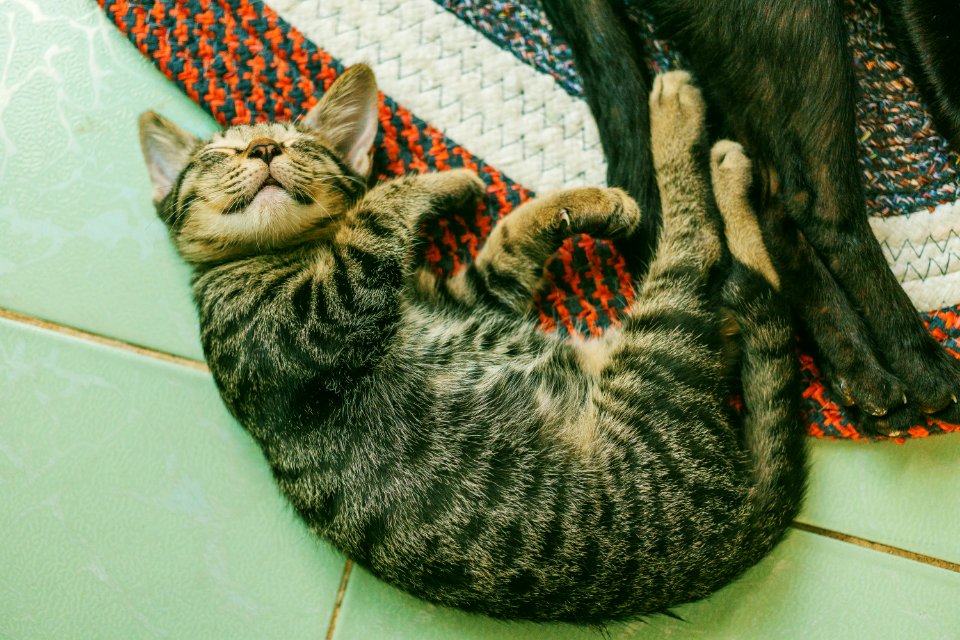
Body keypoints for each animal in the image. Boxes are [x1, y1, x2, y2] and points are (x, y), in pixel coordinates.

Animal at [139, 65, 808, 620]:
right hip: (660, 354)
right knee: (700, 252)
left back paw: (725, 168)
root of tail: (735, 535)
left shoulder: (473, 293)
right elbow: (380, 202)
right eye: (221, 153)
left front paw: (557, 198)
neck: (297, 251)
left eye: (303, 146)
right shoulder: (311, 319)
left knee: (753, 296)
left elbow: (508, 237)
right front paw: (434, 181)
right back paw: (680, 122)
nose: (264, 148)